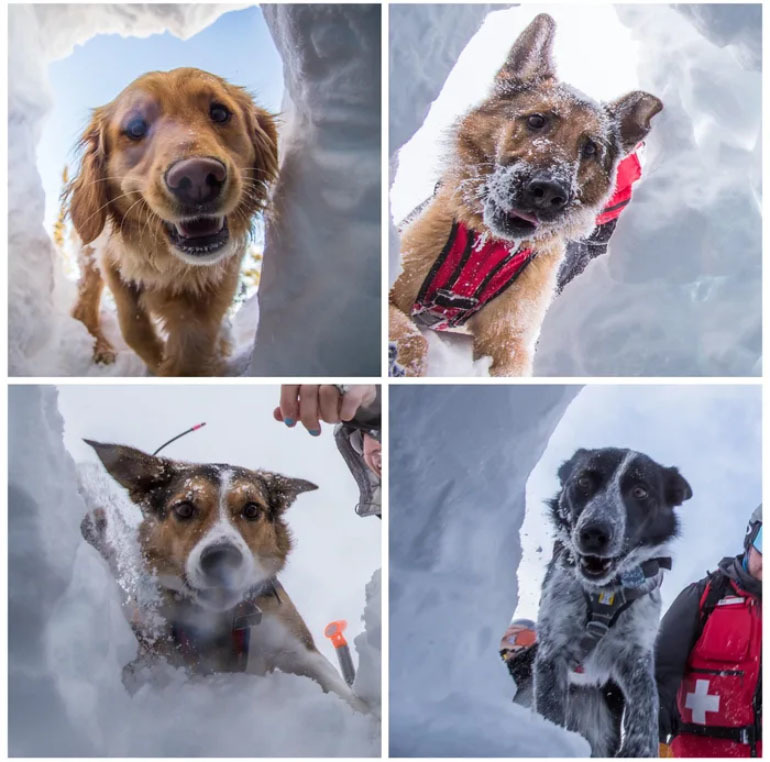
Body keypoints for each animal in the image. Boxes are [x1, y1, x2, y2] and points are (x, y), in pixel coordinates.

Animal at [66, 67, 276, 374]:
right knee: (84, 305)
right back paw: (101, 348)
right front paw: (158, 362)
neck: (170, 263)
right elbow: (133, 325)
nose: (197, 177)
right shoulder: (112, 260)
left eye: (220, 113)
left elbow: (193, 344)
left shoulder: (219, 278)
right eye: (135, 128)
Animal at [81, 436, 364, 708]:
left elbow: (349, 697)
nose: (221, 557)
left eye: (252, 509)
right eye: (184, 508)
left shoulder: (296, 646)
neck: (221, 619)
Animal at [390, 13, 660, 376]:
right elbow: (413, 337)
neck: (487, 244)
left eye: (590, 148)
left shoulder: (510, 343)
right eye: (536, 120)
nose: (548, 193)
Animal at [536, 446, 688, 756]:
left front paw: (640, 748)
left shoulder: (635, 654)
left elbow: (647, 705)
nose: (594, 533)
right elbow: (550, 709)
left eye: (640, 491)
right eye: (583, 481)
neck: (606, 593)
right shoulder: (552, 649)